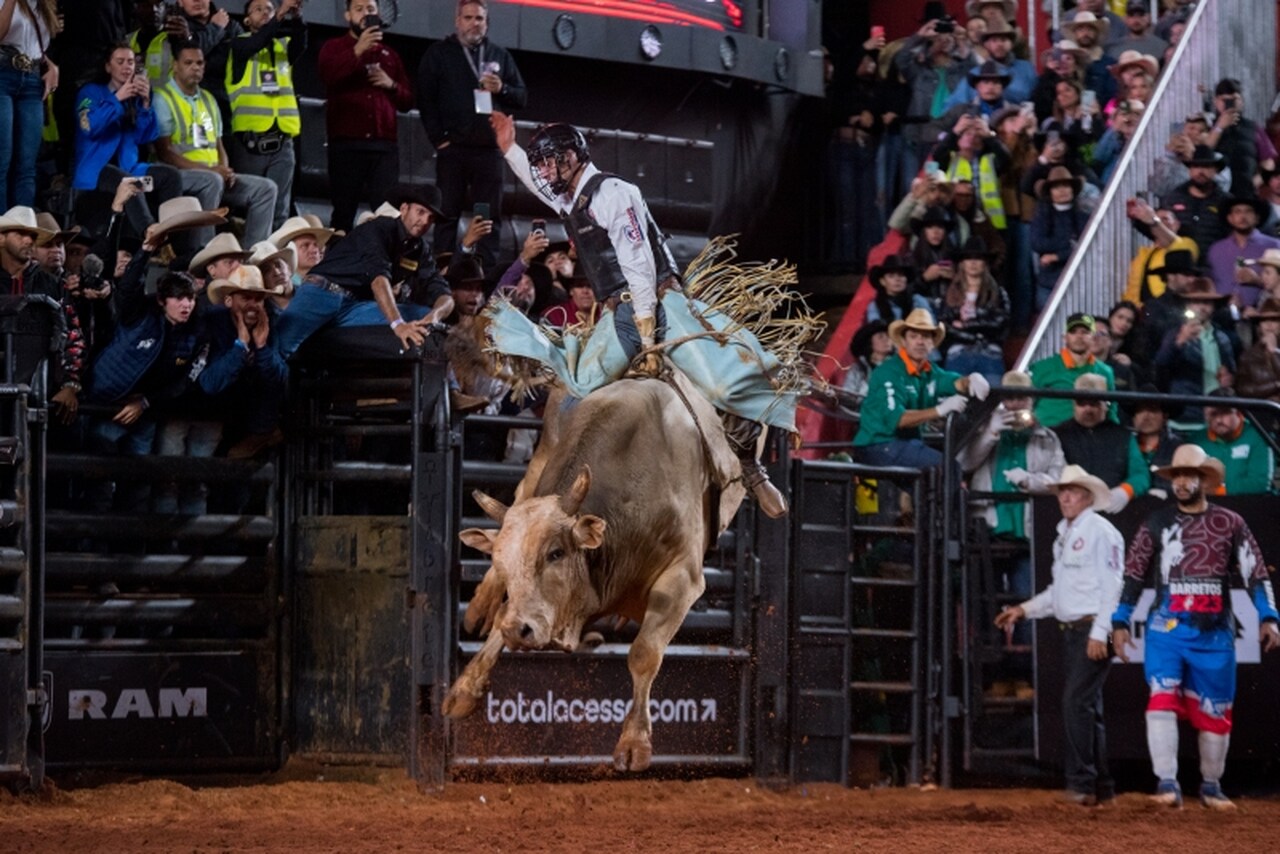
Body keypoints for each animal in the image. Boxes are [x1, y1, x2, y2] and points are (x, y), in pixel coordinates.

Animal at [440, 371, 747, 773]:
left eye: (555, 553)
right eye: (500, 561)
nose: (518, 631)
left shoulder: (683, 579)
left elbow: (644, 653)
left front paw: (634, 744)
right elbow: (505, 613)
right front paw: (463, 689)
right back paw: (478, 608)